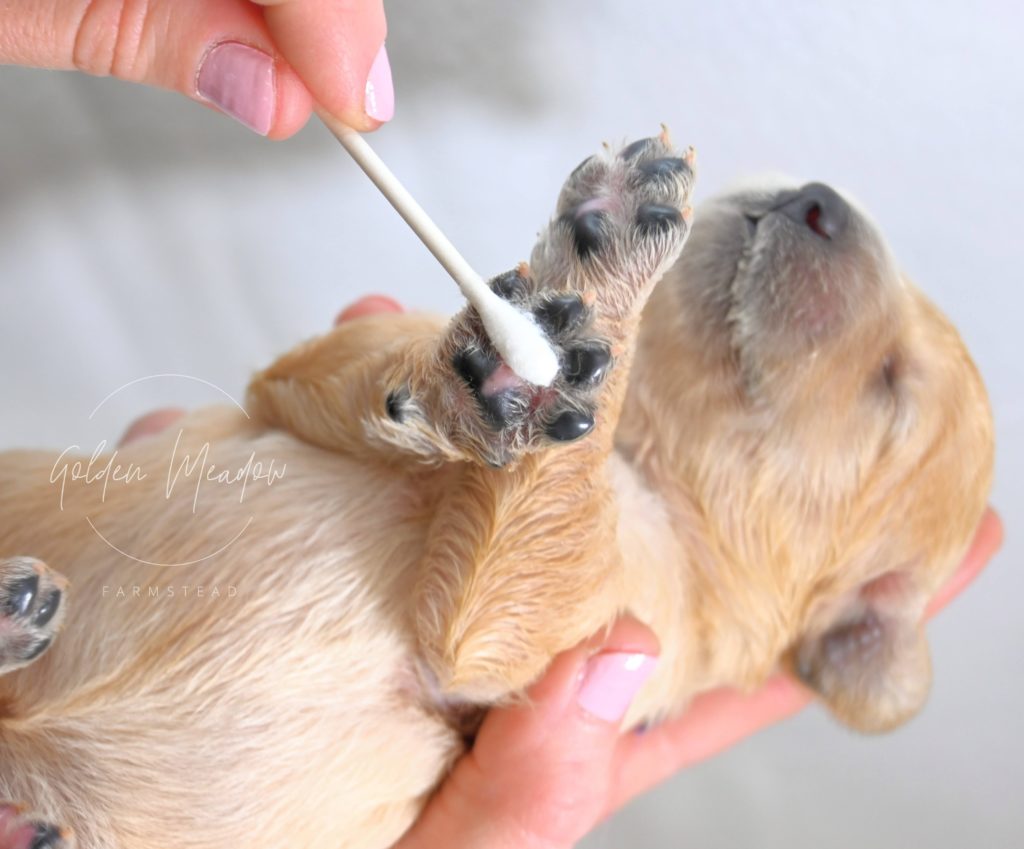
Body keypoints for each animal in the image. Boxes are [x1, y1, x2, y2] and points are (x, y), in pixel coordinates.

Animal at [0, 134, 991, 847]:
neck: (643, 455)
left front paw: (569, 325)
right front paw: (531, 336)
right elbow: (364, 358)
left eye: (893, 389)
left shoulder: (610, 623)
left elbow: (520, 579)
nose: (822, 198)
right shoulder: (294, 379)